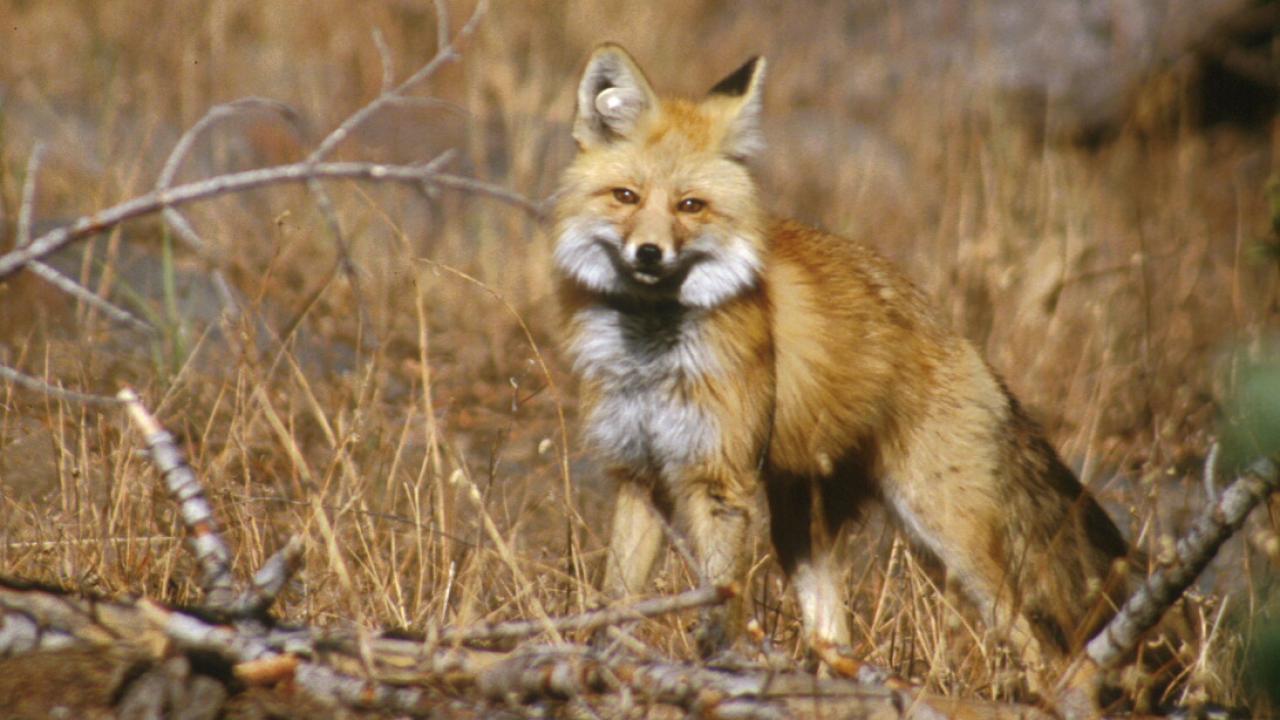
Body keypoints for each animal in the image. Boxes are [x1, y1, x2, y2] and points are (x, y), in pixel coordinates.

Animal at [550, 43, 1131, 691]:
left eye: (690, 206)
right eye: (625, 197)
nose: (649, 254)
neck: (650, 354)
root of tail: (964, 342)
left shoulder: (720, 480)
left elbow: (721, 605)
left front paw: (718, 671)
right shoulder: (639, 473)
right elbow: (615, 602)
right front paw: (602, 664)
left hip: (947, 537)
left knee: (1045, 649)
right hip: (802, 528)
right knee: (835, 632)